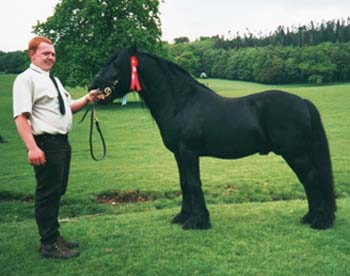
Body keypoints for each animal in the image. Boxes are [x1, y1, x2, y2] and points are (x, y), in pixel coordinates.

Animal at [89, 46, 336, 230]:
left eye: (116, 64)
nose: (93, 87)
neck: (181, 103)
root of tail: (302, 101)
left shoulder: (188, 153)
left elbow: (193, 183)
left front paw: (197, 221)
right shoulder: (179, 154)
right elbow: (184, 183)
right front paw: (183, 216)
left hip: (296, 154)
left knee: (311, 179)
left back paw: (319, 221)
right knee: (310, 180)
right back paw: (311, 217)